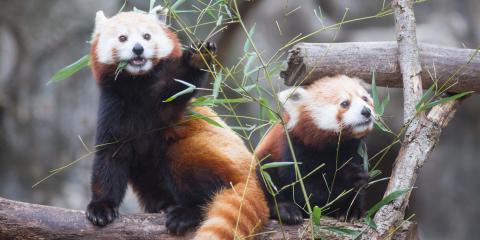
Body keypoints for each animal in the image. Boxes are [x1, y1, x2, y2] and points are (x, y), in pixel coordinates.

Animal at [86, 6, 270, 239]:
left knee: (182, 157)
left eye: (147, 36)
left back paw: (187, 211)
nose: (138, 49)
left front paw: (198, 58)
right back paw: (164, 205)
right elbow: (109, 159)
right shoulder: (114, 107)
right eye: (122, 38)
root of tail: (253, 179)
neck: (136, 85)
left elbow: (181, 81)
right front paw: (102, 207)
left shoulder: (166, 98)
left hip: (215, 158)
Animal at [255, 75, 376, 225]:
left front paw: (351, 210)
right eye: (345, 103)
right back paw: (284, 209)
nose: (366, 111)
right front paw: (351, 178)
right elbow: (306, 191)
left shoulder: (355, 152)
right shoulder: (293, 151)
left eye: (365, 98)